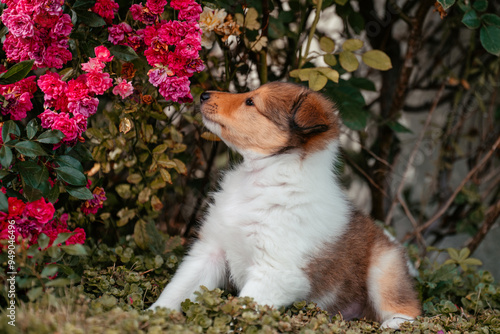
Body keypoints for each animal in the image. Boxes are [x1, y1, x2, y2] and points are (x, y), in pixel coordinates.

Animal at [150, 81, 420, 328]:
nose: (204, 94)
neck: (262, 179)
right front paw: (151, 317)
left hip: (384, 268)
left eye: (251, 102)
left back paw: (392, 325)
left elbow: (241, 315)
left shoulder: (274, 272)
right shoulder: (210, 250)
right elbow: (177, 290)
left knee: (410, 310)